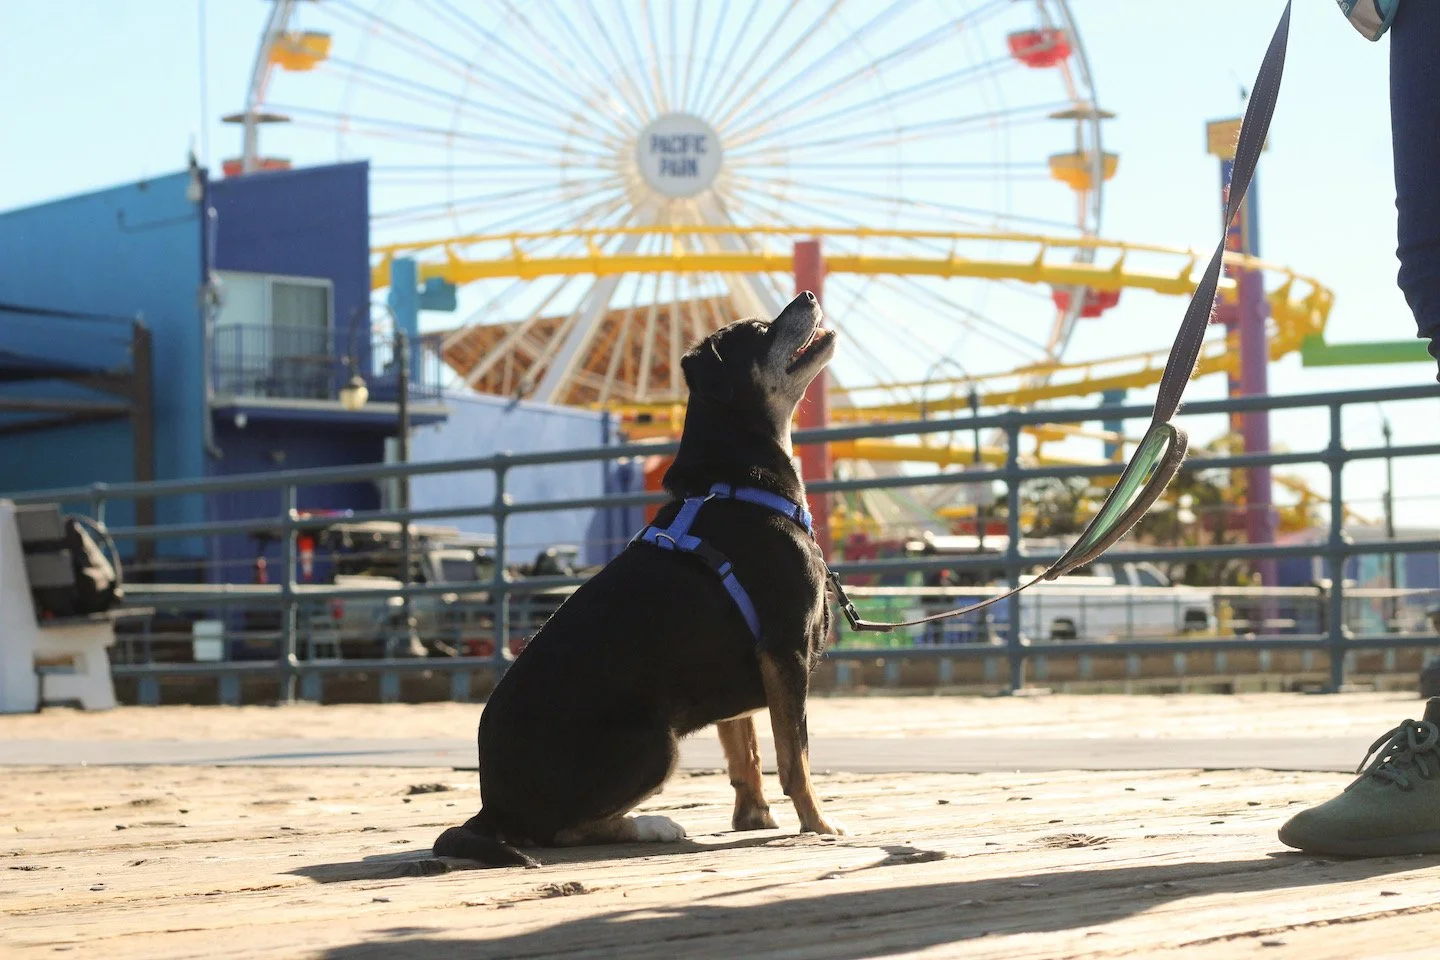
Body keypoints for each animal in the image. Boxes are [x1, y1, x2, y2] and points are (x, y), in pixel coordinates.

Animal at [434, 292, 843, 867]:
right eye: (762, 329)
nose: (807, 296)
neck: (741, 484)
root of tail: (492, 810)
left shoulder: (754, 667)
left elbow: (745, 752)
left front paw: (753, 818)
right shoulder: (785, 653)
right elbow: (795, 757)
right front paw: (818, 825)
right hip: (656, 743)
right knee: (565, 832)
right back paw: (654, 825)